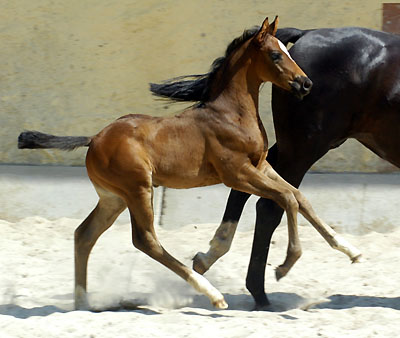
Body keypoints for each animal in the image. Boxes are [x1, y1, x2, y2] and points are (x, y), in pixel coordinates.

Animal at [18, 17, 360, 310]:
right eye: (276, 55)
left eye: (289, 52)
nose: (306, 84)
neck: (230, 113)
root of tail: (94, 138)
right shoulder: (237, 173)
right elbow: (287, 198)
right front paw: (286, 265)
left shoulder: (261, 166)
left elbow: (300, 197)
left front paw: (351, 250)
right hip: (138, 189)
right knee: (146, 240)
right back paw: (213, 294)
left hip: (113, 198)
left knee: (84, 235)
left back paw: (83, 302)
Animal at [150, 27, 400, 308]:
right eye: (275, 55)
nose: (304, 84)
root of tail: (308, 32)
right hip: (306, 145)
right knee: (271, 205)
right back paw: (262, 289)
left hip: (286, 149)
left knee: (262, 194)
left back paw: (213, 257)